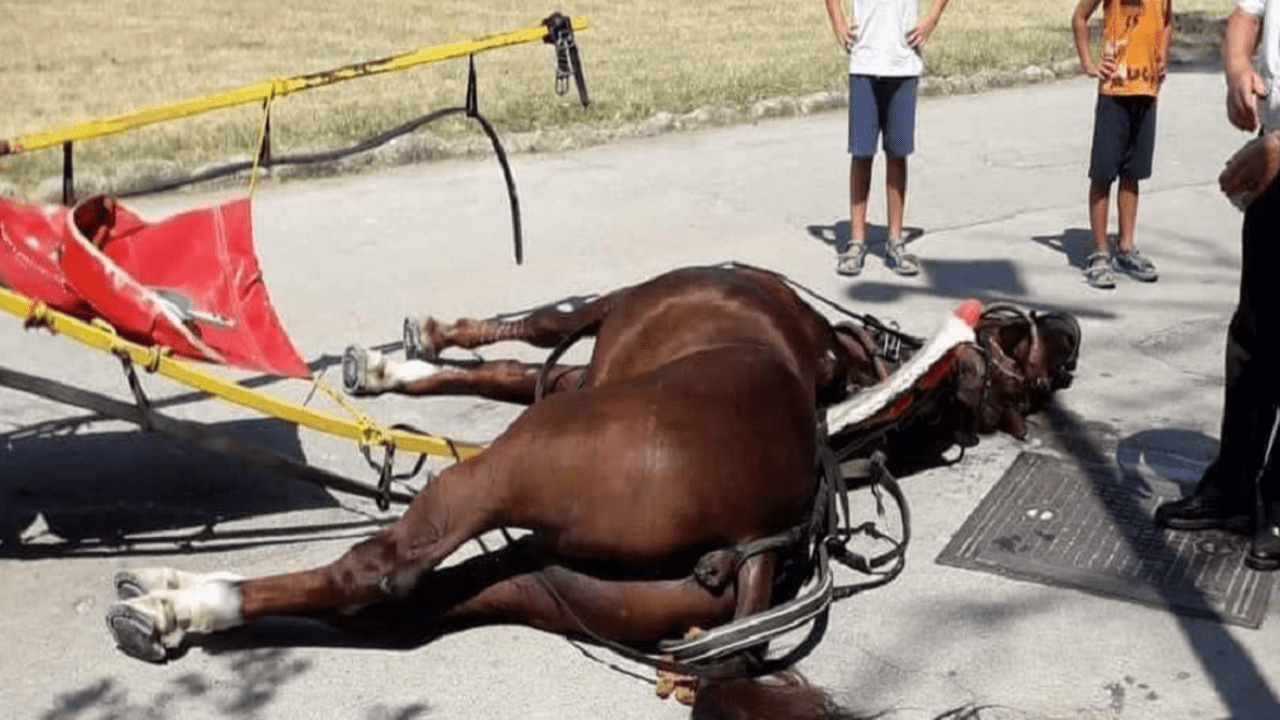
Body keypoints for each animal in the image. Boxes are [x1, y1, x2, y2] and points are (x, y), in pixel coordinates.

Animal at [107, 263, 1080, 717]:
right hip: (547, 581)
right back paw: (179, 602)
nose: (1070, 332)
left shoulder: (605, 314)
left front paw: (409, 347)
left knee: (381, 572)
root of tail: (758, 549)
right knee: (404, 608)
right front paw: (393, 367)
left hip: (503, 476)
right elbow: (509, 369)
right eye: (1025, 344)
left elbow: (536, 327)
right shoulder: (580, 373)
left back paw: (177, 602)